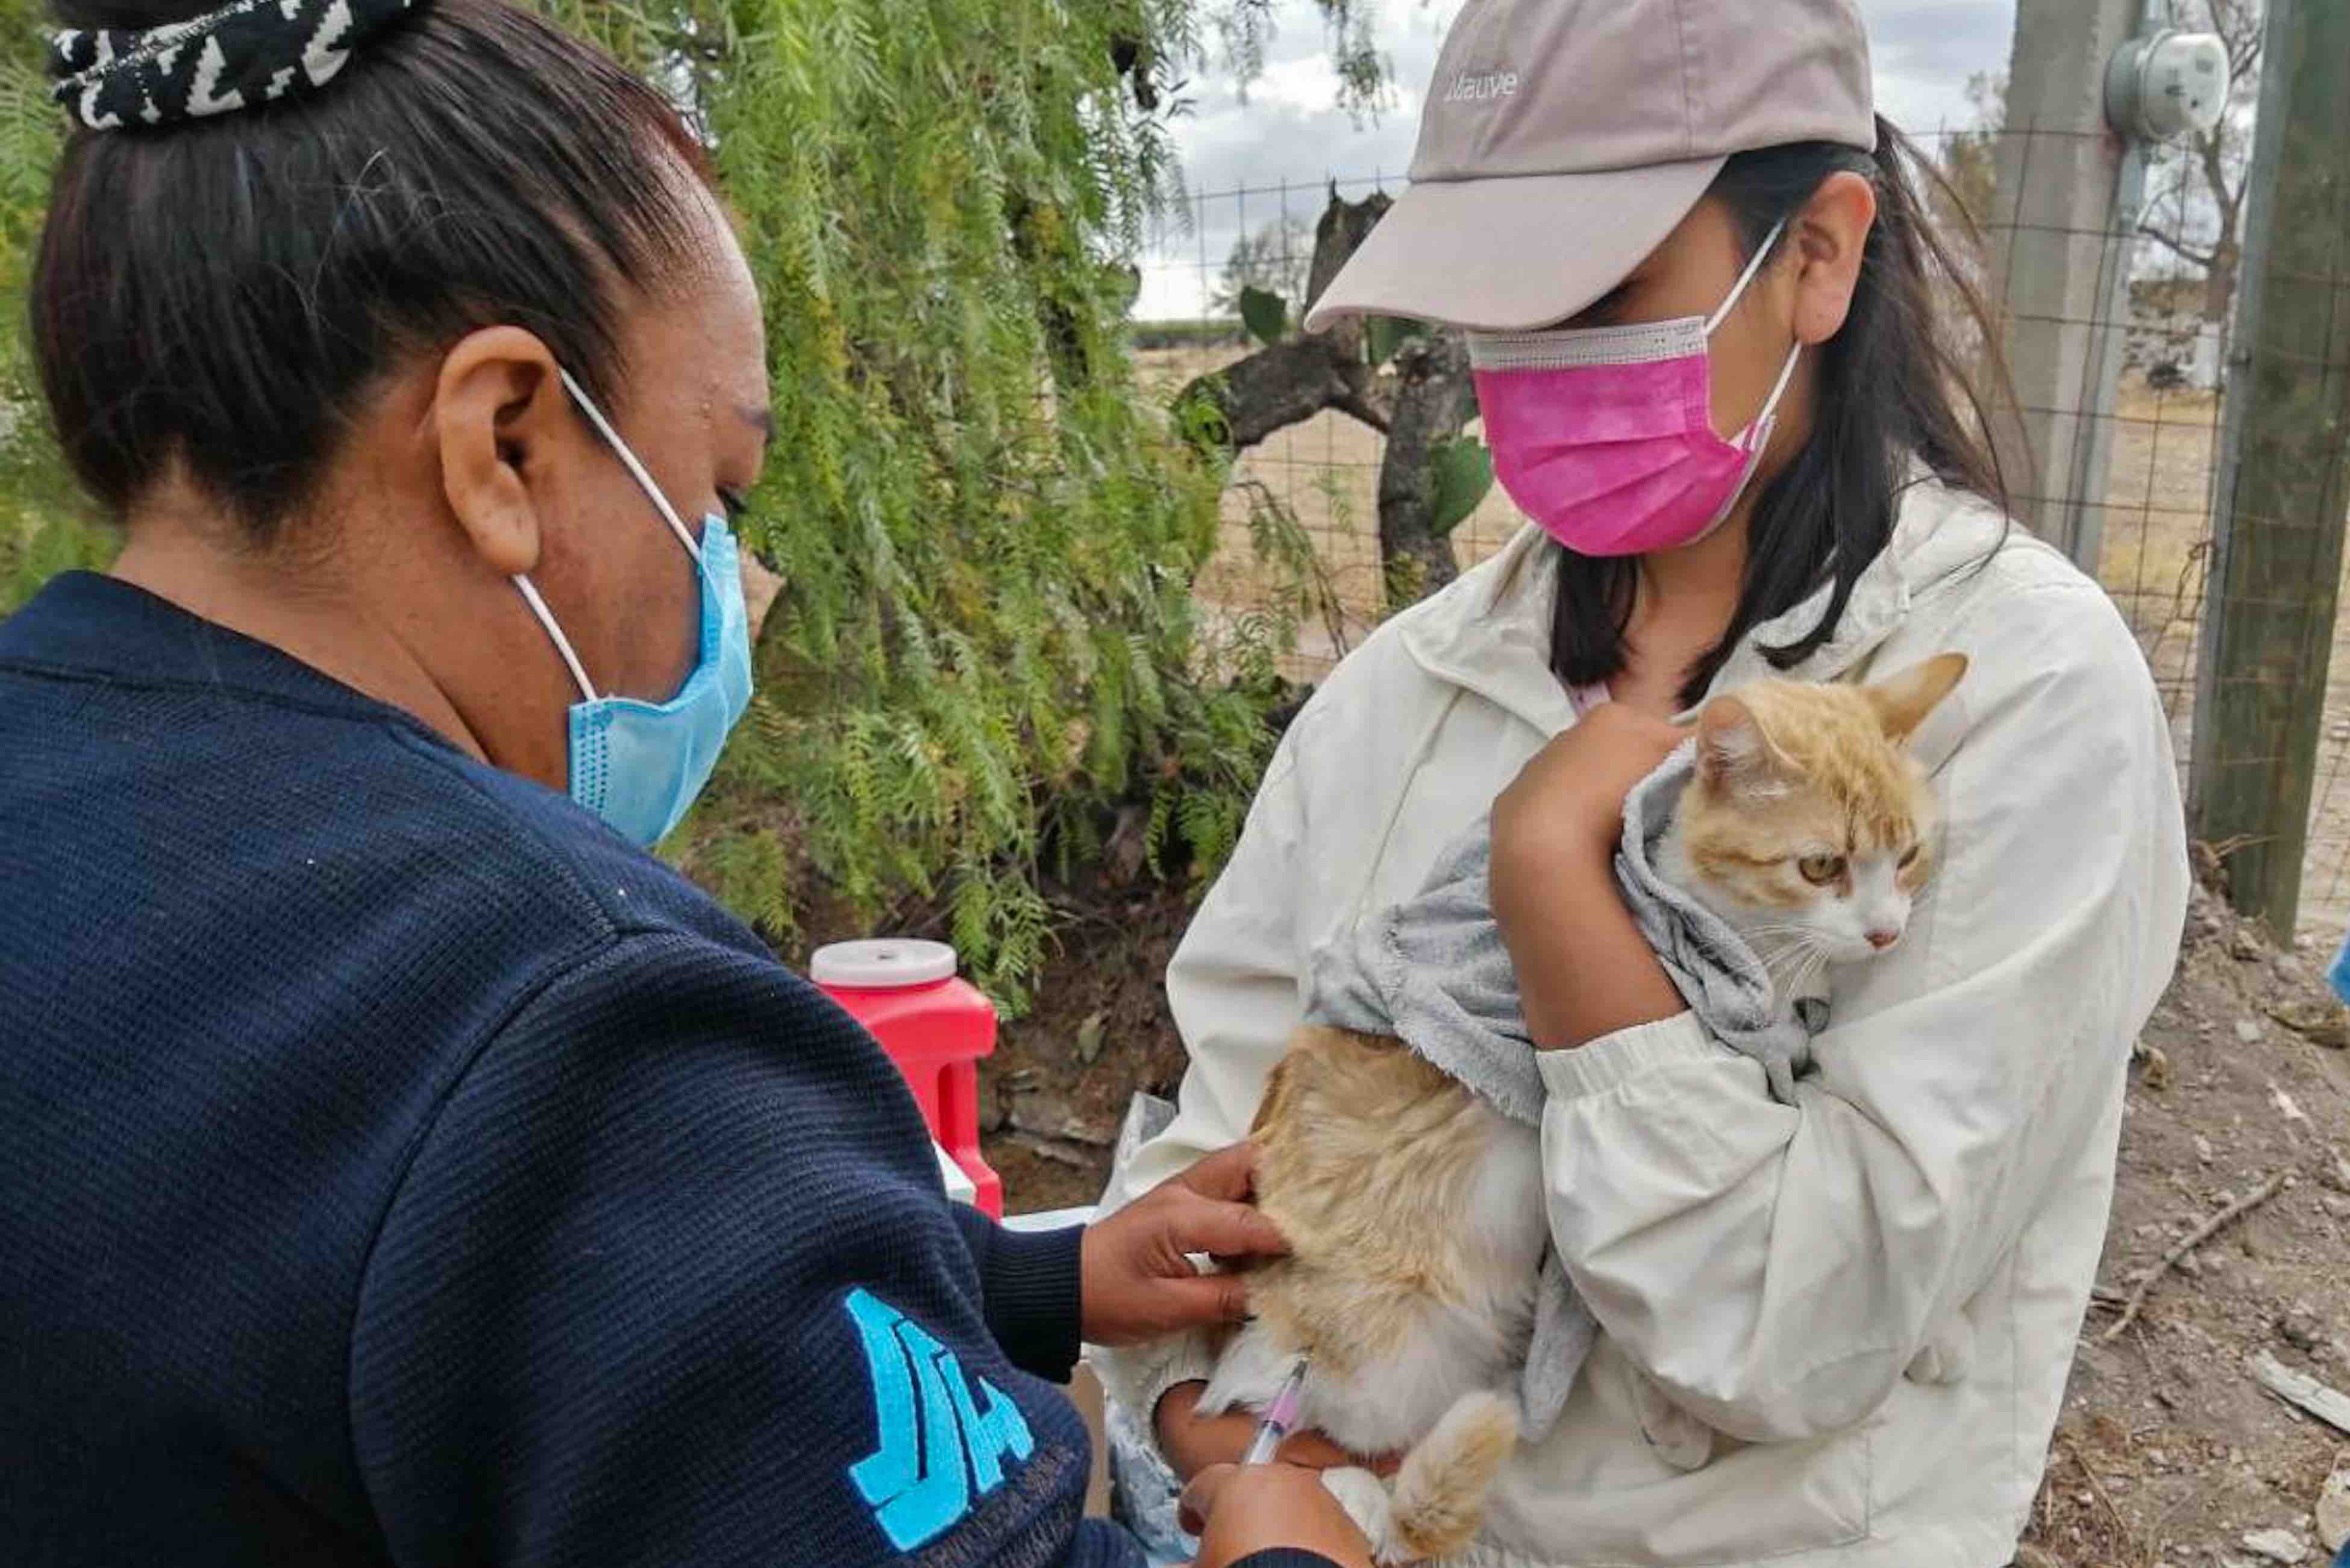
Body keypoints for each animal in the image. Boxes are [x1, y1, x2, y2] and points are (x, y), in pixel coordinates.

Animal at [1194, 658, 1964, 1561]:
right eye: (1820, 866)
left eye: (1906, 855)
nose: (1885, 932)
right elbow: (1627, 1301)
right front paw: (1675, 1417)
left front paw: (1936, 1333)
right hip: (1393, 1352)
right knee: (1352, 1469)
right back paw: (1361, 1497)